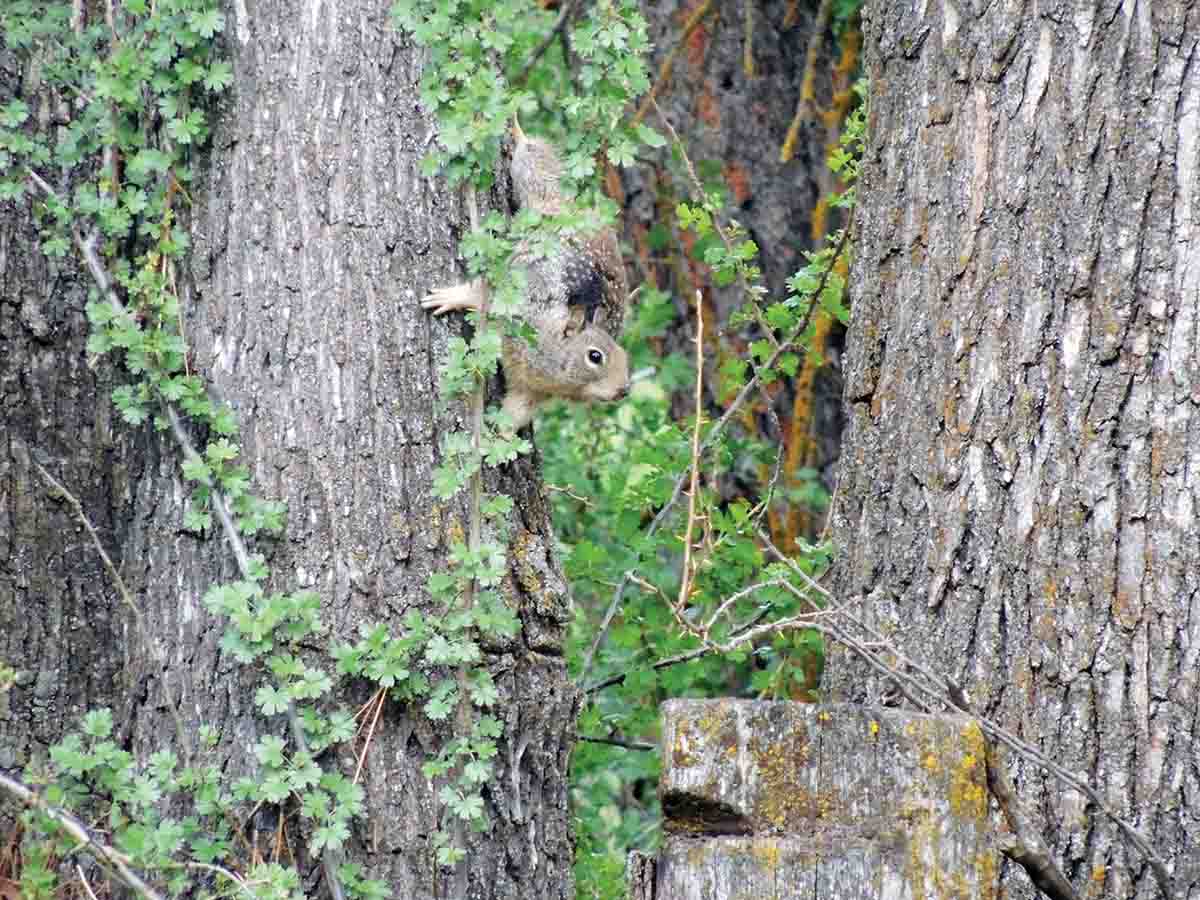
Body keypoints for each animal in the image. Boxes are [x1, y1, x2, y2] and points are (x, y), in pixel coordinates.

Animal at [422, 122, 630, 430]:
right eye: (595, 356)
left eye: (625, 356)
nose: (624, 390)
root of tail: (565, 208)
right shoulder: (519, 302)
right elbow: (483, 296)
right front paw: (454, 296)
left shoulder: (533, 391)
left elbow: (515, 412)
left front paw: (497, 434)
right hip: (532, 184)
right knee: (532, 163)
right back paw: (518, 130)